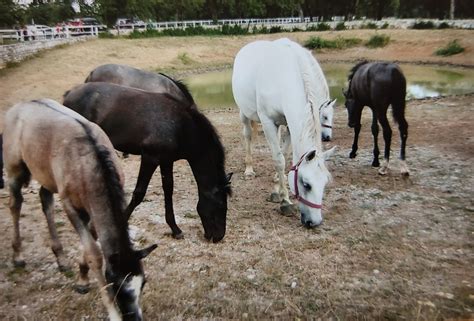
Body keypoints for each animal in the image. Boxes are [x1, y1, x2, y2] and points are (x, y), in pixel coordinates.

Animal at [1, 99, 157, 318]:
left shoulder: (91, 210)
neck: (90, 164)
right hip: (14, 169)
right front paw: (112, 312)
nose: (134, 317)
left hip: (47, 174)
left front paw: (82, 277)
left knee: (45, 199)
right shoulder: (71, 206)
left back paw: (60, 258)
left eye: (143, 283)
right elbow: (94, 252)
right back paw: (18, 256)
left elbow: (91, 241)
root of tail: (21, 105)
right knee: (15, 204)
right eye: (116, 286)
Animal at [63, 81, 233, 241]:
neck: (180, 127)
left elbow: (168, 190)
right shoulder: (150, 157)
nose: (219, 236)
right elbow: (139, 193)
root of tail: (69, 93)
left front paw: (175, 229)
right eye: (220, 205)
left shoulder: (166, 160)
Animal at [231, 37, 336, 226]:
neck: (284, 79)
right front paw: (285, 201)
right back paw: (249, 169)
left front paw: (277, 188)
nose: (315, 222)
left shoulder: (288, 124)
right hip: (244, 113)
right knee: (248, 136)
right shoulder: (267, 122)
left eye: (325, 182)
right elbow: (279, 160)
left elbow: (283, 155)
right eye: (306, 184)